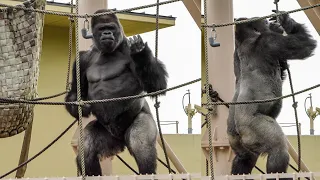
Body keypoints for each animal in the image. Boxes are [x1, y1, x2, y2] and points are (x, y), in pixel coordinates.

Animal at [64, 9, 169, 176]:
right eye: (102, 28)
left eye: (111, 27)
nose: (107, 33)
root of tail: (120, 142)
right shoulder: (82, 59)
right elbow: (76, 91)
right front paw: (79, 106)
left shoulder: (127, 49)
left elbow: (157, 86)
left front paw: (140, 52)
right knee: (86, 147)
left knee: (140, 143)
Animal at [228, 13, 318, 178]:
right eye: (264, 22)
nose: (270, 24)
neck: (245, 39)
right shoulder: (267, 41)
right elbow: (304, 46)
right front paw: (287, 22)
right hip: (251, 128)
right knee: (278, 149)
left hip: (235, 139)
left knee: (245, 157)